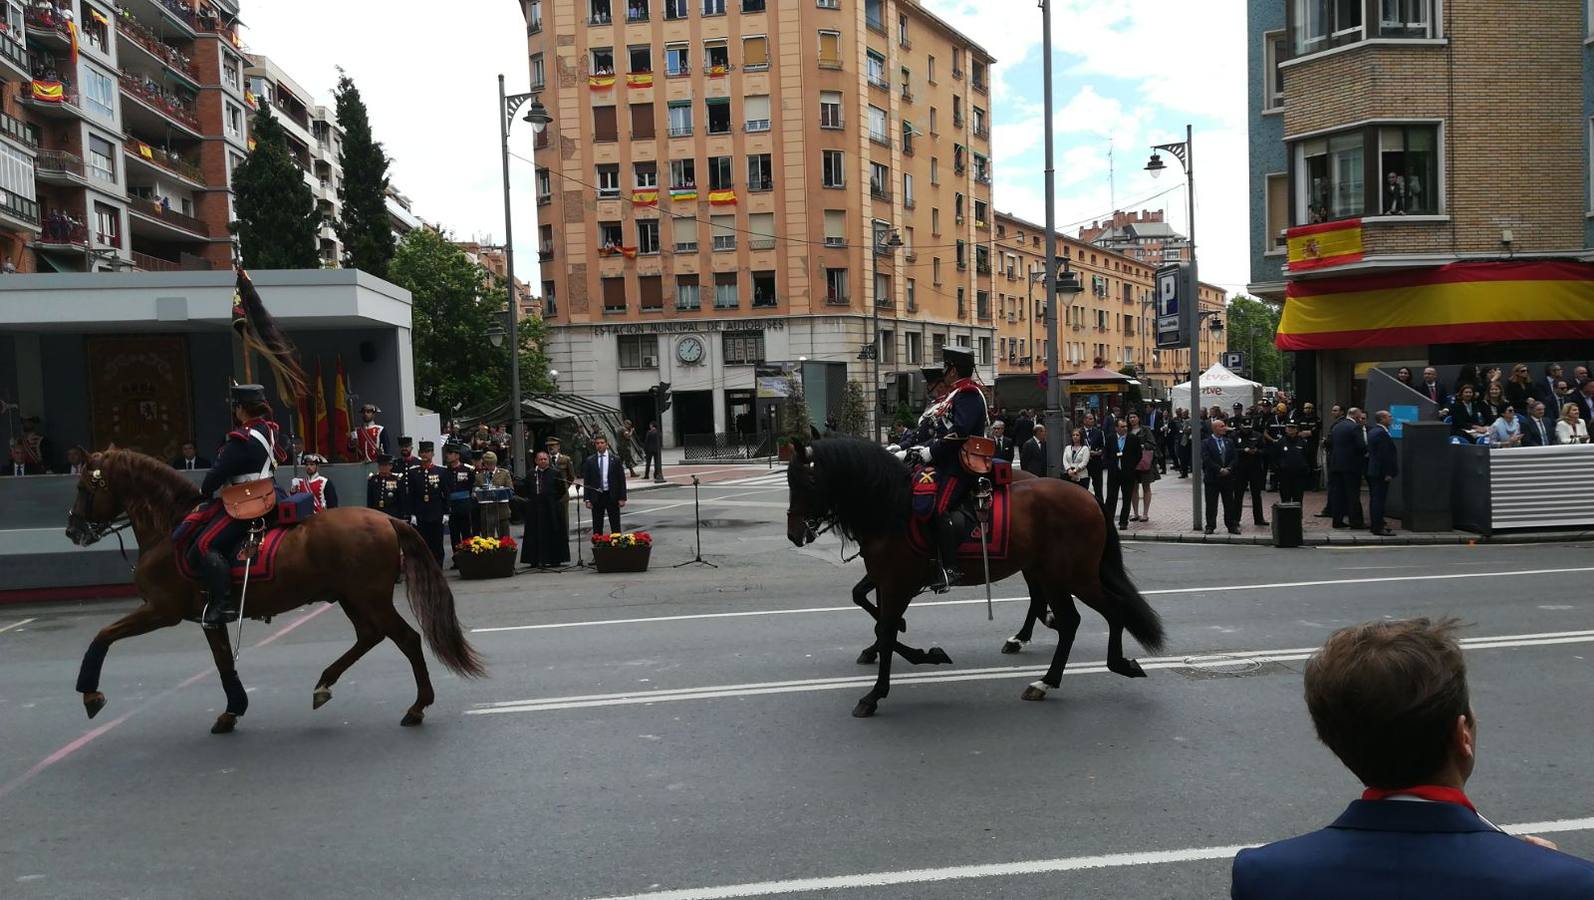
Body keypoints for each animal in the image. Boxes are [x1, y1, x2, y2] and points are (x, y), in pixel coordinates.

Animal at [63, 452, 484, 732]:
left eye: (83, 486)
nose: (73, 530)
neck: (171, 527)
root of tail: (386, 517)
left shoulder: (161, 610)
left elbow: (103, 635)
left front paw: (89, 692)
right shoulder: (208, 617)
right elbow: (223, 661)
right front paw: (233, 709)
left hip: (369, 597)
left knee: (407, 639)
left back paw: (417, 706)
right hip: (351, 597)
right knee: (370, 636)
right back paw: (324, 684)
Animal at [787, 436, 1173, 716]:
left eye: (808, 481)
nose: (793, 535)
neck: (891, 507)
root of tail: (1089, 497)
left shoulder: (898, 585)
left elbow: (884, 627)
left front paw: (876, 693)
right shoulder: (887, 583)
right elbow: (880, 623)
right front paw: (919, 654)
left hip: (1074, 577)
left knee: (1109, 611)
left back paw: (1104, 664)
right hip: (1049, 574)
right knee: (1068, 619)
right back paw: (1043, 673)